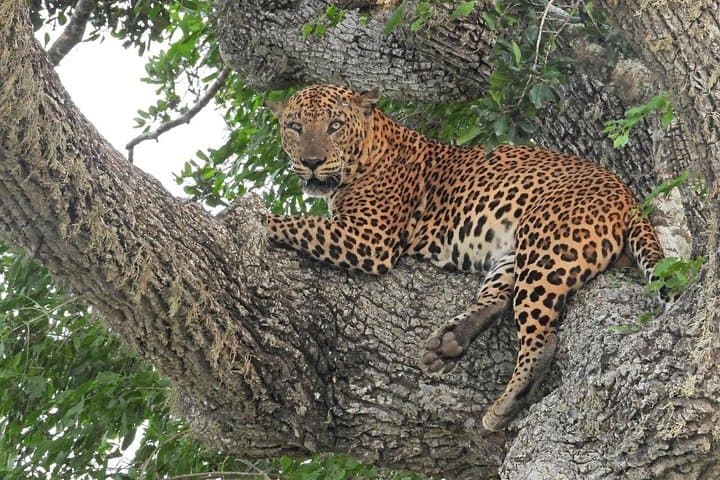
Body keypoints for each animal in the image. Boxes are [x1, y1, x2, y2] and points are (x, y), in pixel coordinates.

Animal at [265, 84, 669, 431]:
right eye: (295, 127)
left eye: (335, 125)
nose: (312, 161)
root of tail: (627, 196)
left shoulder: (369, 238)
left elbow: (301, 223)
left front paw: (260, 220)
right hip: (515, 253)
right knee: (498, 299)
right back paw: (448, 342)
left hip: (547, 244)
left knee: (542, 338)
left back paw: (505, 403)